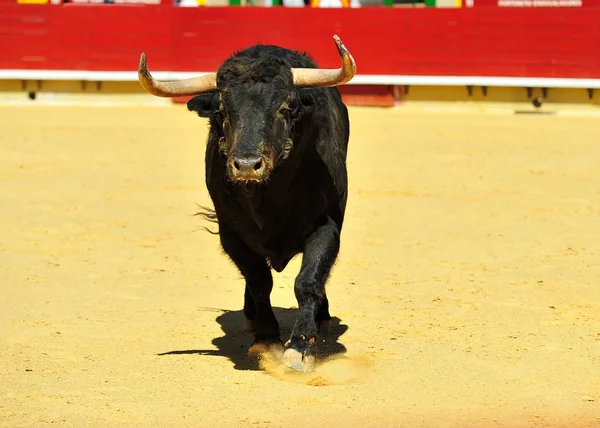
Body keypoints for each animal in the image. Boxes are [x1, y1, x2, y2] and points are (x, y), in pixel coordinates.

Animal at [137, 36, 356, 372]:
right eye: (222, 111)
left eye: (284, 108)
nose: (247, 165)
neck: (269, 197)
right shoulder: (232, 234)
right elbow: (259, 280)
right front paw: (266, 338)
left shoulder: (326, 225)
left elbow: (308, 281)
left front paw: (301, 347)